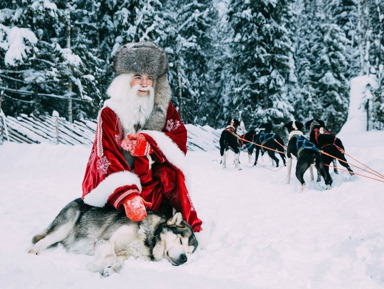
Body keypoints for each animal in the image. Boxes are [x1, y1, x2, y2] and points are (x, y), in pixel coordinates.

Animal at [27, 198, 198, 274]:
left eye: (189, 252)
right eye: (180, 240)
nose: (185, 259)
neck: (149, 238)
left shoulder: (126, 255)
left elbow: (118, 263)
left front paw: (110, 270)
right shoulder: (104, 241)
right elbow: (110, 256)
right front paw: (94, 266)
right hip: (64, 227)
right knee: (44, 239)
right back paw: (33, 251)